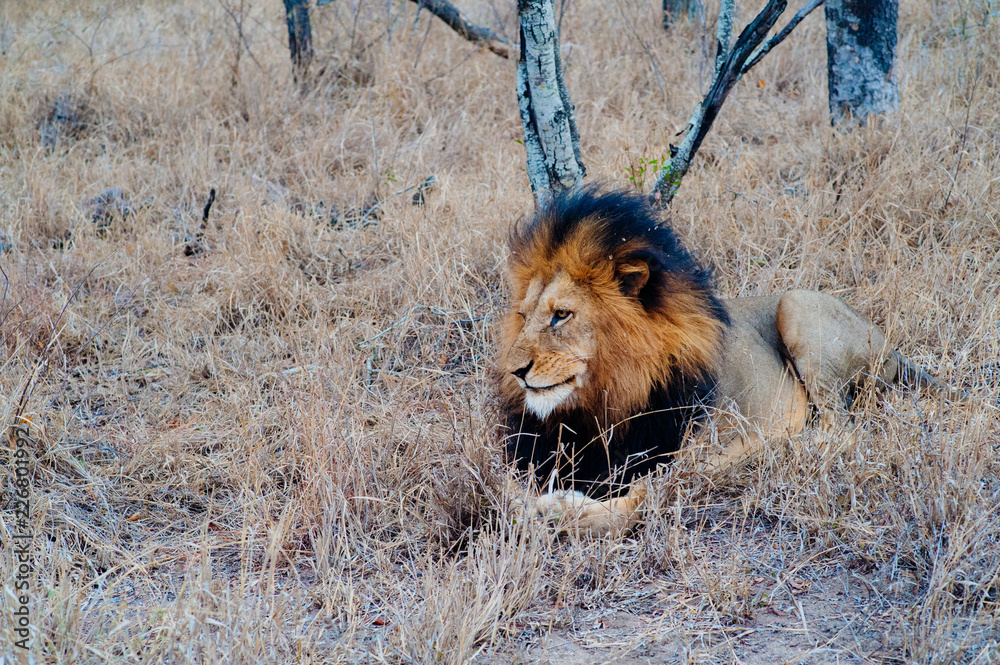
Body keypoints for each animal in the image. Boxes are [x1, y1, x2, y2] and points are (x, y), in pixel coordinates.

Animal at [498, 187, 953, 535]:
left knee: (841, 430)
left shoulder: (698, 452)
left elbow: (645, 497)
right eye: (522, 315)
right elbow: (508, 490)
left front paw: (561, 511)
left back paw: (784, 445)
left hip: (797, 306)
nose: (515, 372)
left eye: (562, 315)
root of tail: (891, 346)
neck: (605, 400)